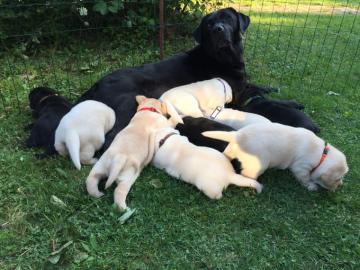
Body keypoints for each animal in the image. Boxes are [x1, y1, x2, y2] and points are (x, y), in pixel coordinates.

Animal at [61, 7, 316, 148]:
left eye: (227, 19)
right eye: (209, 24)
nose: (219, 30)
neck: (221, 57)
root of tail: (93, 87)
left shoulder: (242, 84)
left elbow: (259, 86)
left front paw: (280, 92)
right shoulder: (236, 95)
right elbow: (258, 93)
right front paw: (290, 103)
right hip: (127, 103)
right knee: (111, 137)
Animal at [204, 123, 350, 191]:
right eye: (338, 178)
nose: (340, 185)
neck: (322, 154)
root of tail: (238, 135)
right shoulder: (301, 167)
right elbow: (305, 178)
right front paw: (311, 186)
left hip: (230, 150)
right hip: (258, 165)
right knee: (247, 175)